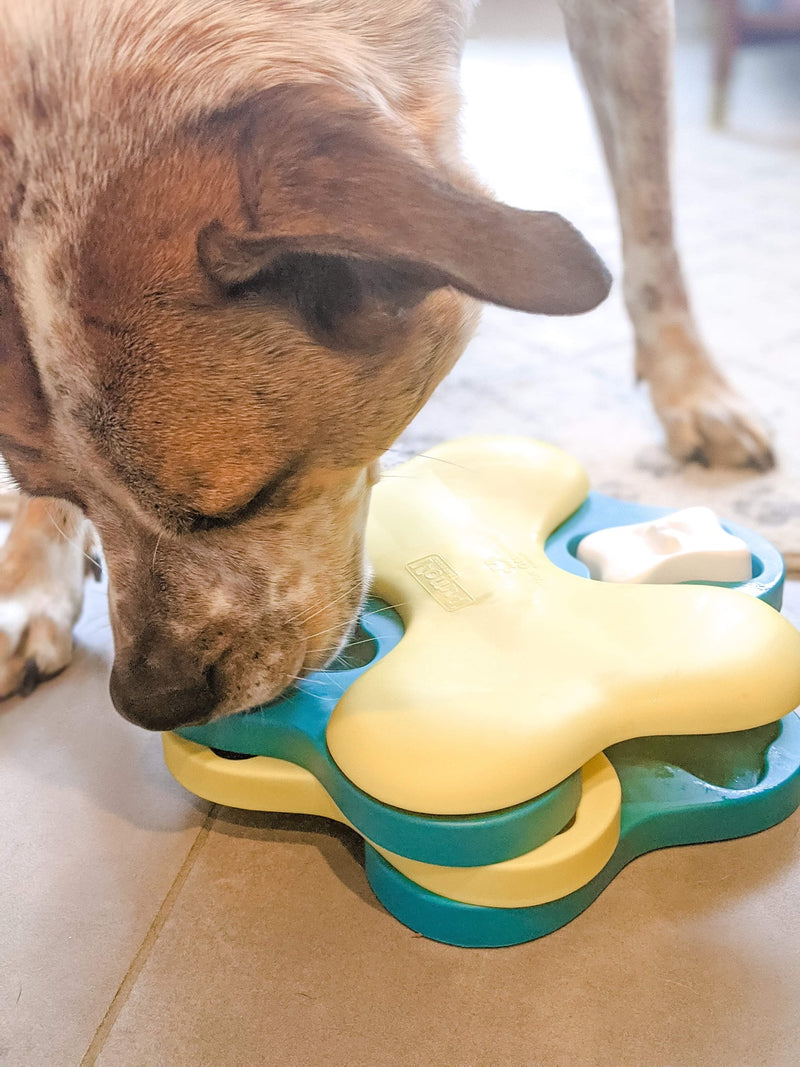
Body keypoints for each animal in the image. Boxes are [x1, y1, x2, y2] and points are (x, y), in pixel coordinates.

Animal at [0, 0, 776, 729]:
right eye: (65, 492)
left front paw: (695, 390)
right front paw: (31, 577)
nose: (151, 702)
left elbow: (652, 221)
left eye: (250, 498)